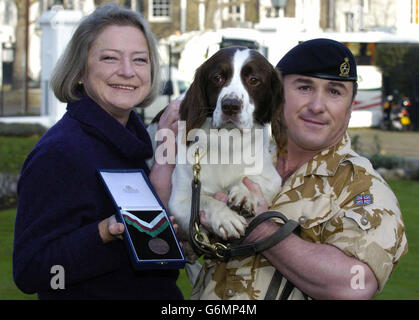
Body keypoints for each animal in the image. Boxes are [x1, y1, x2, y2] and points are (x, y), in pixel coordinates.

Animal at [148, 46, 286, 241]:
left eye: (254, 80)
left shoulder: (273, 178)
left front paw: (244, 194)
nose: (230, 105)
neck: (227, 142)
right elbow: (205, 200)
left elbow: (250, 180)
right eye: (217, 77)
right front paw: (225, 217)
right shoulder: (179, 201)